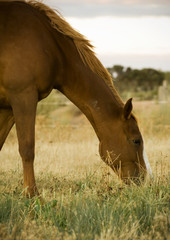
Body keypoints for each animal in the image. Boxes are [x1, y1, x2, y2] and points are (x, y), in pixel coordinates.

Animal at [0, 0, 152, 197]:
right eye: (136, 140)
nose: (143, 178)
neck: (49, 44)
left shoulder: (8, 107)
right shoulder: (23, 96)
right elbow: (27, 148)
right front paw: (31, 194)